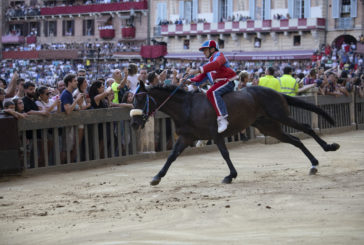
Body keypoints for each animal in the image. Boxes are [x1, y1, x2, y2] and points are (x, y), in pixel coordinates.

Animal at [129, 81, 340, 185]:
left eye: (140, 99)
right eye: (132, 100)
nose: (134, 123)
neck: (187, 108)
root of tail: (276, 92)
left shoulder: (216, 134)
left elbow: (224, 153)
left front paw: (231, 175)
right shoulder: (186, 137)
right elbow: (172, 156)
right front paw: (157, 176)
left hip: (280, 116)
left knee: (306, 128)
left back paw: (329, 147)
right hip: (269, 126)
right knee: (296, 140)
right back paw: (313, 164)